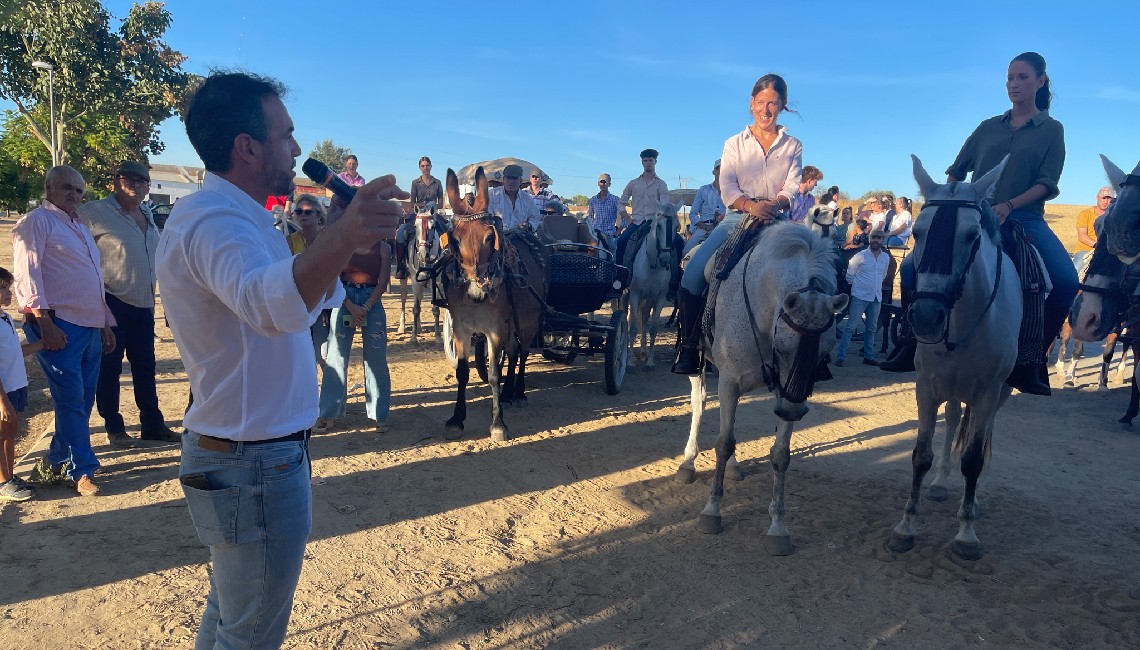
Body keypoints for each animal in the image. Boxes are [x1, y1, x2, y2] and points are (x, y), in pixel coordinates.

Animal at [401, 204, 444, 344]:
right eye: (415, 226)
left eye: (433, 226)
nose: (422, 253)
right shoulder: (415, 281)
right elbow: (415, 309)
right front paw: (413, 337)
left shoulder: (435, 280)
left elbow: (435, 309)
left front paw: (438, 336)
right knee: (404, 299)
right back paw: (402, 327)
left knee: (419, 298)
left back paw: (419, 327)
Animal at [629, 197, 679, 369]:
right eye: (659, 226)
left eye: (677, 226)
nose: (665, 260)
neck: (652, 264)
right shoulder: (635, 295)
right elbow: (632, 327)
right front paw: (630, 363)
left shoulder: (659, 298)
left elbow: (653, 328)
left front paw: (650, 361)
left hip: (649, 299)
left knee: (644, 317)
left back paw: (644, 353)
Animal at [674, 221, 848, 551]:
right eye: (783, 346)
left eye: (825, 352)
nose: (792, 412)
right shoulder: (730, 382)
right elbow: (723, 443)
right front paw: (711, 512)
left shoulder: (786, 392)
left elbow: (780, 455)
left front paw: (778, 528)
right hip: (699, 365)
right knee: (698, 403)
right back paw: (688, 463)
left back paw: (732, 467)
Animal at [884, 153, 1021, 558]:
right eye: (918, 232)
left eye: (972, 237)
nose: (927, 317)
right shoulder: (927, 387)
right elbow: (921, 455)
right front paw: (906, 526)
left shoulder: (989, 391)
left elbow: (973, 460)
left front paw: (966, 533)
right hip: (952, 388)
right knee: (954, 420)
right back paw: (942, 483)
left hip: (996, 394)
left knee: (981, 433)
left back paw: (972, 503)